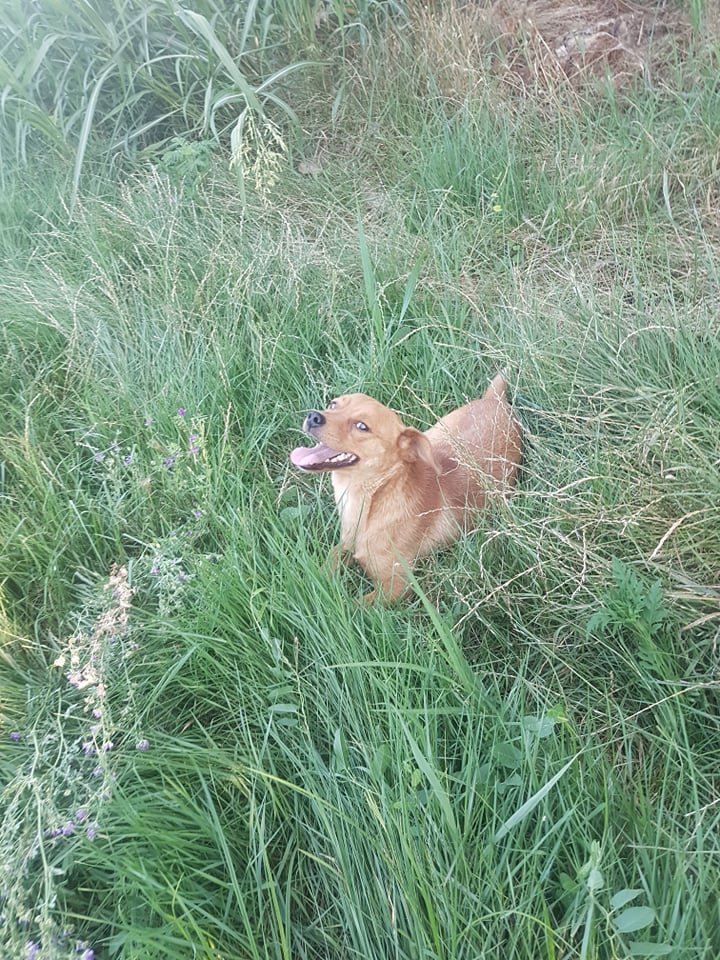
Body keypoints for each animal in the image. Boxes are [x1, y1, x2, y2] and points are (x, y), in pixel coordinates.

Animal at [292, 374, 524, 600]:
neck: (372, 498)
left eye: (361, 426)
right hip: (438, 430)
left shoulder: (396, 586)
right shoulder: (345, 546)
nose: (313, 416)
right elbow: (324, 567)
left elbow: (356, 607)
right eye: (332, 404)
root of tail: (495, 400)